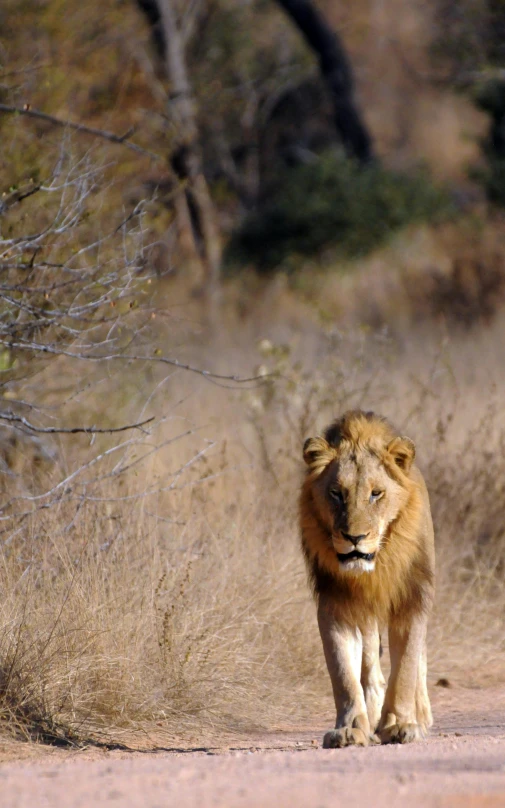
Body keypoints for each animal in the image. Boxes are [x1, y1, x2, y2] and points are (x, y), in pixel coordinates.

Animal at [300, 408, 434, 748]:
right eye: (336, 493)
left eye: (376, 494)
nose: (354, 538)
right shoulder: (335, 604)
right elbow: (343, 674)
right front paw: (350, 728)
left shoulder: (412, 597)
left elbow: (407, 666)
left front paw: (401, 724)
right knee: (371, 666)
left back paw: (421, 714)